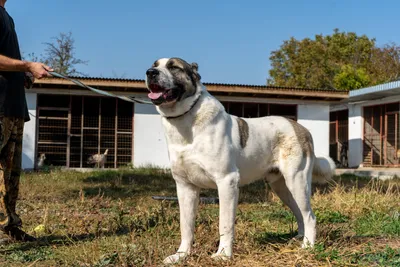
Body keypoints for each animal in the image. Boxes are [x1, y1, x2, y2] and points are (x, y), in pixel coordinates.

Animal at [145, 57, 336, 264]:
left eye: (173, 67)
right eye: (155, 65)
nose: (150, 73)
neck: (186, 120)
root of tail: (301, 128)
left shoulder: (227, 181)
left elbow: (225, 223)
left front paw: (223, 255)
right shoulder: (185, 187)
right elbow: (185, 225)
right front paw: (181, 255)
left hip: (297, 181)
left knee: (310, 216)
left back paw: (307, 247)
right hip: (282, 187)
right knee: (300, 213)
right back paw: (299, 239)